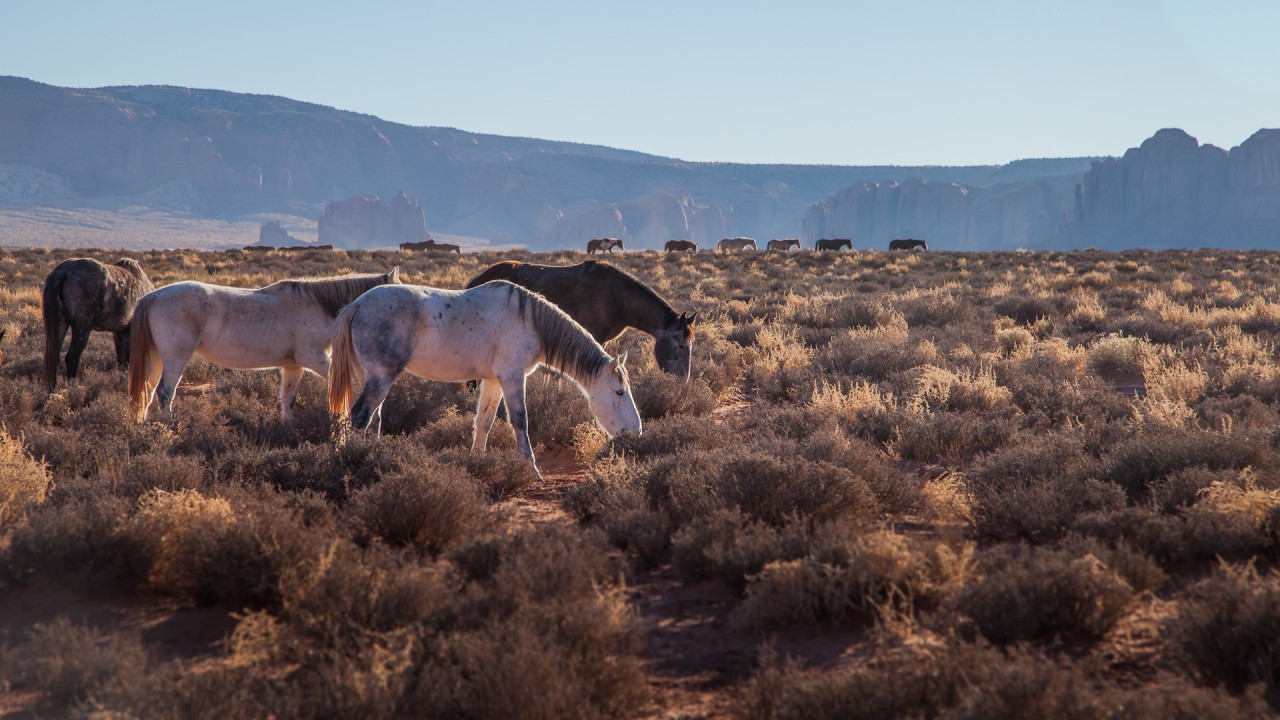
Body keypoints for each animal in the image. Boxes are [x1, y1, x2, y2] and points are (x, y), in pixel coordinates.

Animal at [42, 256, 154, 389]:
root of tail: (63, 271)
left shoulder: (120, 332)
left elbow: (122, 359)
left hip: (61, 323)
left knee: (53, 355)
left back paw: (51, 389)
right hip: (82, 327)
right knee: (72, 356)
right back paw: (72, 387)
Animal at [128, 267, 399, 420]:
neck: (318, 304)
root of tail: (152, 296)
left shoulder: (293, 366)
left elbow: (287, 400)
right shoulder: (314, 359)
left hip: (156, 358)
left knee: (147, 392)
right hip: (175, 357)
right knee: (166, 392)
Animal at [330, 278, 640, 474]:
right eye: (619, 392)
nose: (635, 432)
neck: (531, 320)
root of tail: (356, 305)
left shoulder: (493, 381)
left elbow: (484, 422)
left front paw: (476, 462)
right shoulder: (513, 376)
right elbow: (520, 420)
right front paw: (532, 468)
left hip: (370, 377)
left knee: (374, 417)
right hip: (381, 376)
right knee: (360, 416)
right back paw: (355, 461)